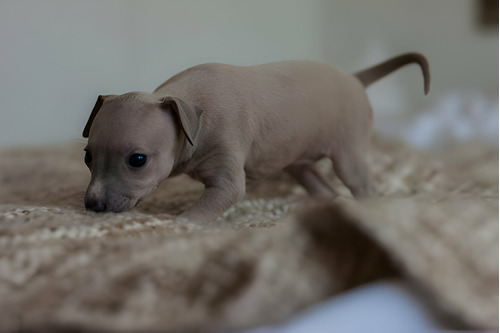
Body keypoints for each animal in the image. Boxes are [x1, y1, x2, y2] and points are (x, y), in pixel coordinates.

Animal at [82, 52, 430, 223]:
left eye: (137, 160)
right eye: (87, 156)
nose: (92, 205)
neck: (192, 110)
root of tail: (354, 78)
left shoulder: (227, 166)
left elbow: (205, 209)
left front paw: (175, 224)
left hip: (348, 153)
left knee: (361, 186)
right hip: (297, 158)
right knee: (322, 186)